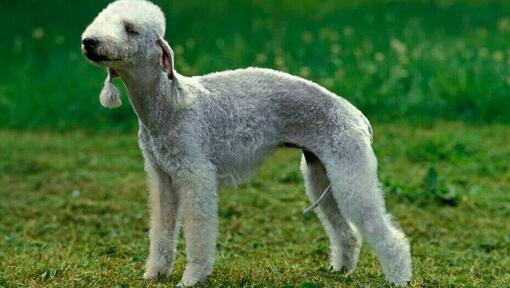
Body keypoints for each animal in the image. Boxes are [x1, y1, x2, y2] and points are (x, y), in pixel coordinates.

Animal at [81, 0, 412, 286]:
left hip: (350, 170)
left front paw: (192, 278)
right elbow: (162, 228)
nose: (89, 42)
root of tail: (357, 115)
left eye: (131, 29)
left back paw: (398, 277)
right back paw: (340, 269)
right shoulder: (161, 176)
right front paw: (154, 274)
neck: (167, 102)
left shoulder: (195, 174)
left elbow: (198, 230)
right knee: (347, 232)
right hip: (321, 173)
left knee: (386, 232)